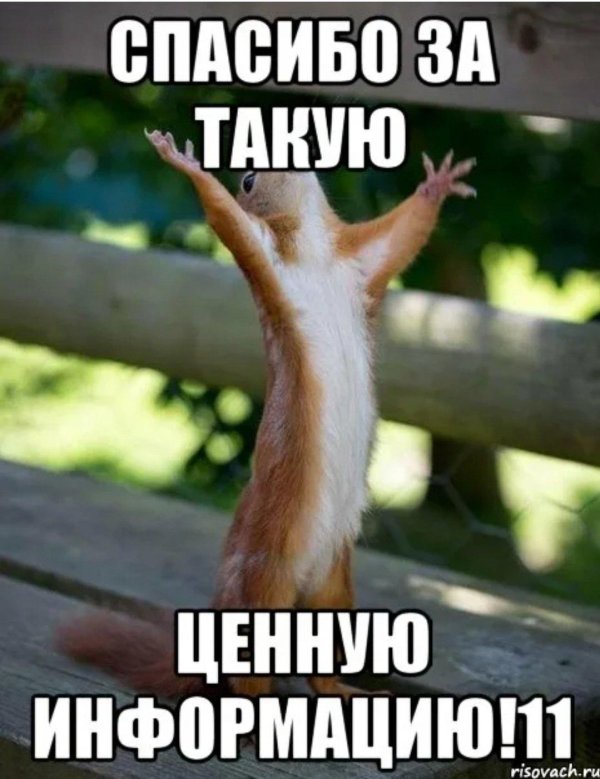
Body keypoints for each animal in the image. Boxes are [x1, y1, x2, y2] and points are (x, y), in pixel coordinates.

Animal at [58, 129, 475, 700]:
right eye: (248, 176)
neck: (317, 254)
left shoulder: (362, 262)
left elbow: (403, 234)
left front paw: (437, 185)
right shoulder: (266, 257)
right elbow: (227, 220)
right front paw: (187, 164)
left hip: (335, 589)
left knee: (322, 665)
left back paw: (343, 691)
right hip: (263, 583)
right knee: (247, 676)